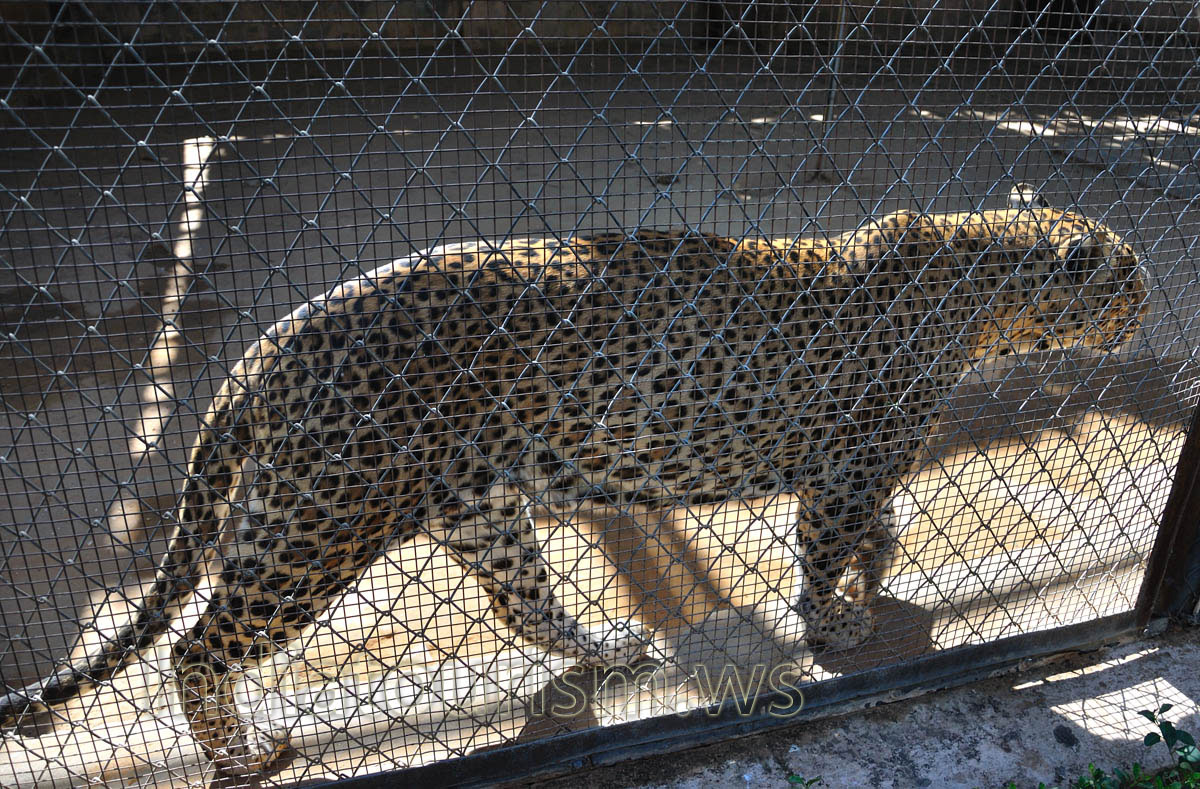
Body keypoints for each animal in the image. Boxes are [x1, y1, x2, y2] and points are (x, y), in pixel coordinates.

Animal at [0, 192, 1147, 777]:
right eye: (1131, 283)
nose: (1147, 311)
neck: (987, 293)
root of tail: (275, 343)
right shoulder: (850, 464)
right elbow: (827, 551)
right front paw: (837, 622)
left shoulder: (869, 465)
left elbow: (879, 531)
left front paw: (883, 573)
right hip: (322, 519)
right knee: (198, 645)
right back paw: (240, 756)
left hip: (466, 510)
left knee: (523, 607)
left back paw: (609, 650)